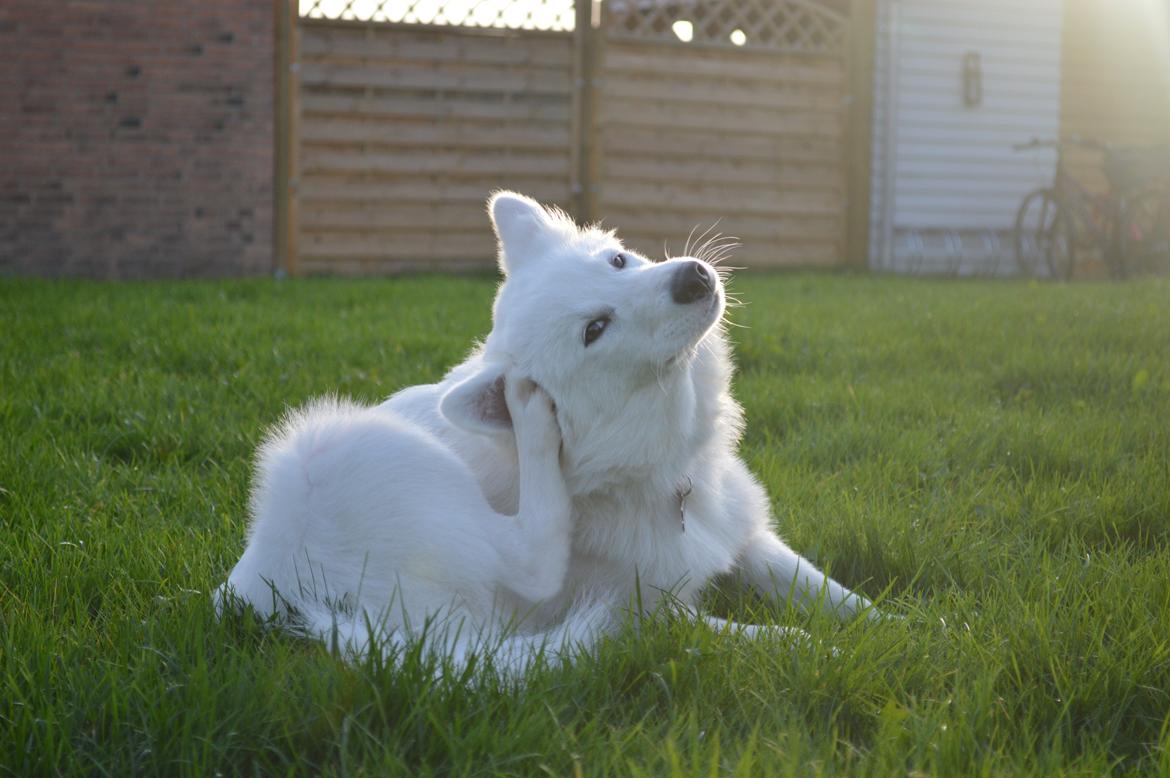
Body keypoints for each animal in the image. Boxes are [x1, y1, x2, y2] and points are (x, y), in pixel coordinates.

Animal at [217, 193, 870, 673]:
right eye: (595, 329)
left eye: (616, 261)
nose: (694, 278)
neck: (661, 475)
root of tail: (262, 598)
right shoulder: (645, 614)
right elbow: (759, 634)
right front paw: (829, 651)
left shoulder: (749, 539)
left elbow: (836, 595)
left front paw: (890, 627)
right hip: (328, 448)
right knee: (531, 556)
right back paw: (531, 421)